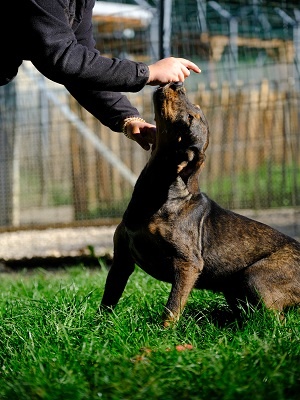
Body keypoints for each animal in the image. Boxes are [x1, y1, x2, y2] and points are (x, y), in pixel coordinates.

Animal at [101, 81, 300, 324]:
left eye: (189, 119)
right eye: (194, 108)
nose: (178, 83)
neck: (157, 191)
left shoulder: (188, 264)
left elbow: (172, 307)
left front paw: (163, 331)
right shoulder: (121, 259)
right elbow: (108, 299)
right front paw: (99, 326)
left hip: (254, 277)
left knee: (275, 320)